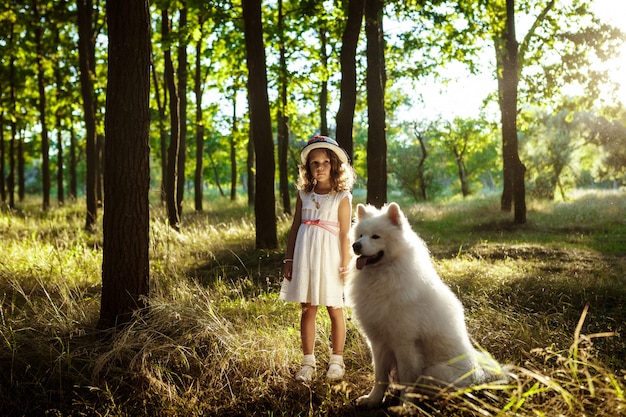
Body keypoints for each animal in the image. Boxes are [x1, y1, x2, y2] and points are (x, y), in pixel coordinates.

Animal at [348, 202, 504, 406]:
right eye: (360, 235)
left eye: (376, 236)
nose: (355, 245)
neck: (381, 277)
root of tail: (479, 372)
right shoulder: (378, 342)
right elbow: (379, 376)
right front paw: (373, 399)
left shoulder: (404, 343)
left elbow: (407, 379)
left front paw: (405, 405)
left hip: (434, 371)